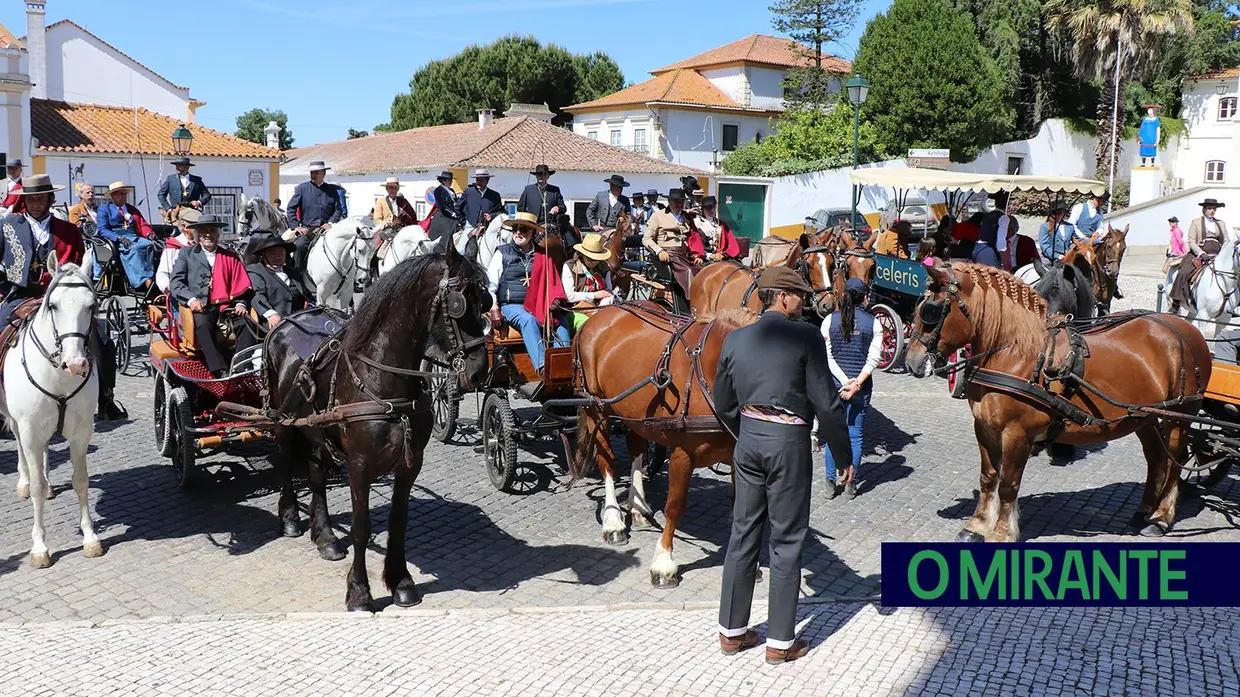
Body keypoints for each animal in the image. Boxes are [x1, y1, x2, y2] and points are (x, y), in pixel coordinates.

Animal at [0, 257, 104, 568]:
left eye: (91, 305)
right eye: (54, 305)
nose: (76, 363)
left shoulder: (81, 433)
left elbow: (81, 481)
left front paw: (90, 537)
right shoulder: (30, 431)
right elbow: (35, 487)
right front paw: (39, 547)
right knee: (20, 446)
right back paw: (24, 479)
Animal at [264, 238, 491, 607]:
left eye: (485, 301)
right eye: (459, 304)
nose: (478, 370)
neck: (384, 383)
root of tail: (286, 322)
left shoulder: (410, 463)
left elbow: (398, 521)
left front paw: (400, 582)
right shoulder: (359, 464)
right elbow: (362, 526)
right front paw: (359, 591)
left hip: (318, 431)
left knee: (316, 472)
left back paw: (325, 536)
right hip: (283, 421)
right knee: (285, 462)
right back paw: (290, 519)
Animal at [567, 303, 758, 585]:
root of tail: (601, 313)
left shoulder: (737, 455)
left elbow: (738, 504)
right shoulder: (682, 454)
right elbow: (674, 506)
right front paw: (663, 562)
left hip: (635, 413)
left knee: (635, 448)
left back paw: (637, 507)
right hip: (595, 406)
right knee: (606, 460)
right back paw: (613, 522)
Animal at [902, 262, 1210, 540]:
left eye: (931, 310)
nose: (912, 361)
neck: (1017, 354)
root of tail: (1187, 329)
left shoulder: (1017, 434)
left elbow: (1008, 484)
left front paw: (1001, 532)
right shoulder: (984, 428)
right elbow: (989, 477)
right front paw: (976, 525)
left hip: (1179, 416)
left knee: (1175, 461)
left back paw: (1161, 517)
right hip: (1145, 416)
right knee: (1156, 458)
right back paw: (1144, 510)